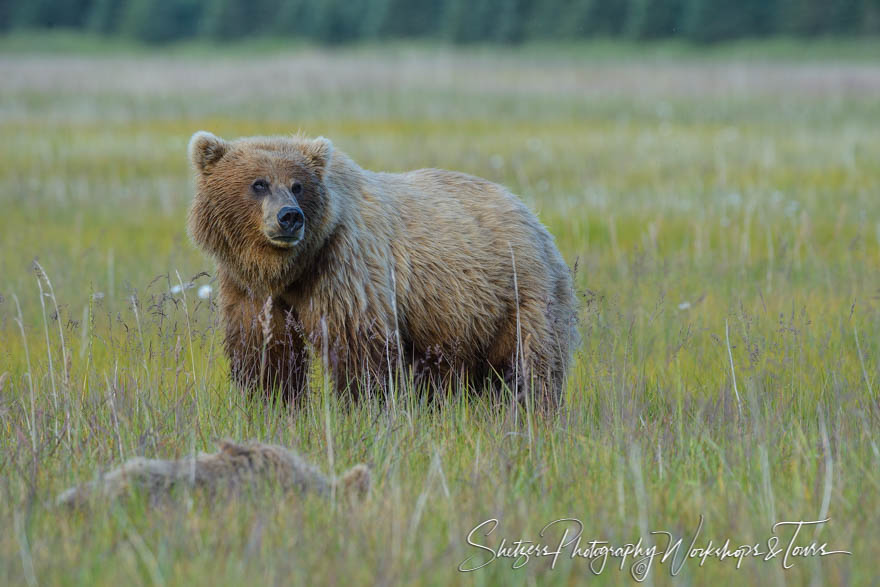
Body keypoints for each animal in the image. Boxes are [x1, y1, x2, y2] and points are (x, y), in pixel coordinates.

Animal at [187, 131, 576, 406]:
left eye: (298, 185)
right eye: (258, 183)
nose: (289, 217)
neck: (292, 267)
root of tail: (532, 217)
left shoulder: (346, 267)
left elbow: (358, 348)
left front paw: (363, 407)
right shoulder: (249, 287)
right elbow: (265, 348)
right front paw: (270, 403)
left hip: (519, 294)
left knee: (528, 365)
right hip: (455, 321)